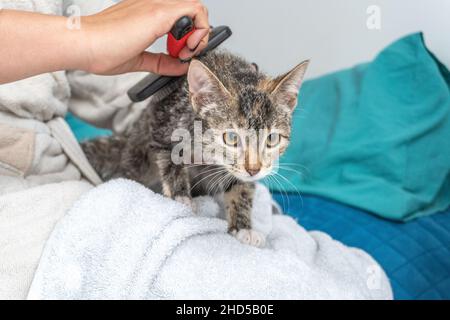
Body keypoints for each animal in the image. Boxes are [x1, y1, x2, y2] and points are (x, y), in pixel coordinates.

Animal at [81, 50, 308, 248]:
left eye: (272, 139)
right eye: (232, 138)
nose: (254, 169)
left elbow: (241, 186)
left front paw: (243, 227)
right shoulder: (164, 124)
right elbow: (171, 162)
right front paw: (181, 197)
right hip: (138, 154)